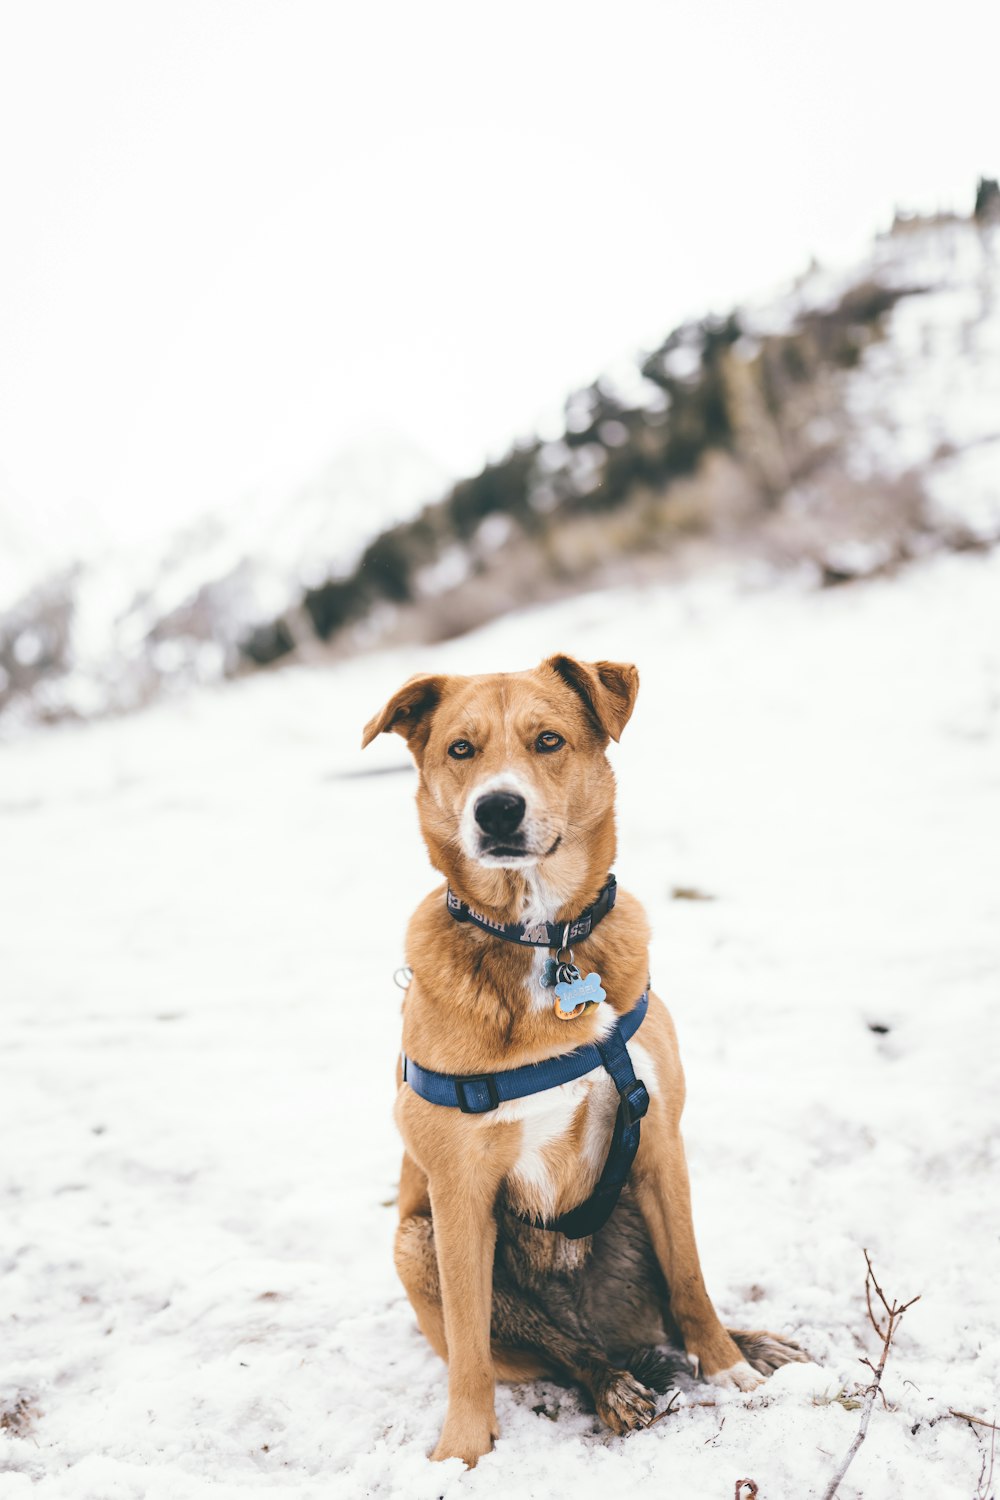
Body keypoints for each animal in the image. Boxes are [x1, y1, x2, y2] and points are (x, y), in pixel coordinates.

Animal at [359, 657, 803, 1464]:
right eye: (461, 750)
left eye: (548, 740)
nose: (497, 810)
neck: (543, 939)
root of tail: (608, 1328)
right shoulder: (459, 1190)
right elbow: (470, 1351)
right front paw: (461, 1454)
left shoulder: (659, 1141)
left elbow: (691, 1278)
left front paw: (728, 1368)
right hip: (416, 1242)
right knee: (563, 1351)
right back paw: (613, 1386)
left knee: (662, 1310)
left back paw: (750, 1345)